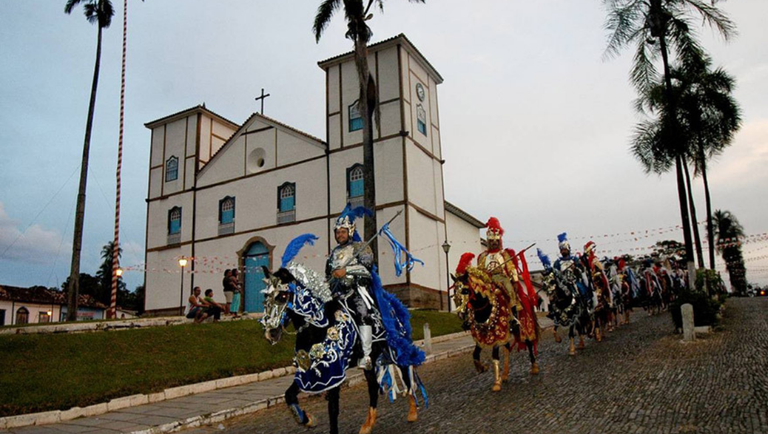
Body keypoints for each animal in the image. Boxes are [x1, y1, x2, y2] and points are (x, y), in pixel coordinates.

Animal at [260, 260, 424, 434]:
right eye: (265, 296)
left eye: (283, 296)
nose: (271, 333)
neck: (319, 325)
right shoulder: (309, 372)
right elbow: (289, 395)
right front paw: (307, 419)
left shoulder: (333, 372)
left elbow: (333, 409)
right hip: (371, 362)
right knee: (373, 387)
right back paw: (368, 425)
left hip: (395, 350)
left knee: (407, 375)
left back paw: (412, 412)